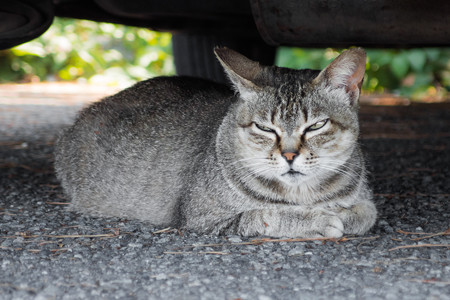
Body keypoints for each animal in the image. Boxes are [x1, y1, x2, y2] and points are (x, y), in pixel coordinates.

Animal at [53, 47, 376, 237]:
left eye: (317, 125)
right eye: (264, 128)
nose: (289, 155)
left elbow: (368, 212)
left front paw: (343, 213)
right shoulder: (202, 220)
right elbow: (264, 215)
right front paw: (318, 220)